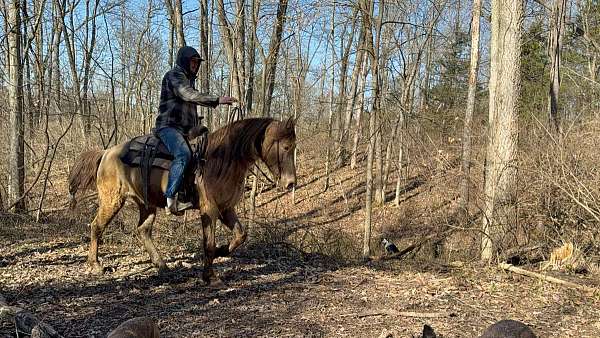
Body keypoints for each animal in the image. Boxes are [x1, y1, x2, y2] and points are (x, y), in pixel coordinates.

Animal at [68, 117, 298, 284]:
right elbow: (208, 244)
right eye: (286, 147)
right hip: (112, 201)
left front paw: (222, 251)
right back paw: (95, 264)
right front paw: (210, 277)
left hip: (147, 204)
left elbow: (240, 235)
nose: (290, 183)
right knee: (96, 226)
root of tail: (106, 152)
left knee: (143, 230)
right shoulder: (209, 210)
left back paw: (161, 265)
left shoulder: (226, 209)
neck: (221, 159)